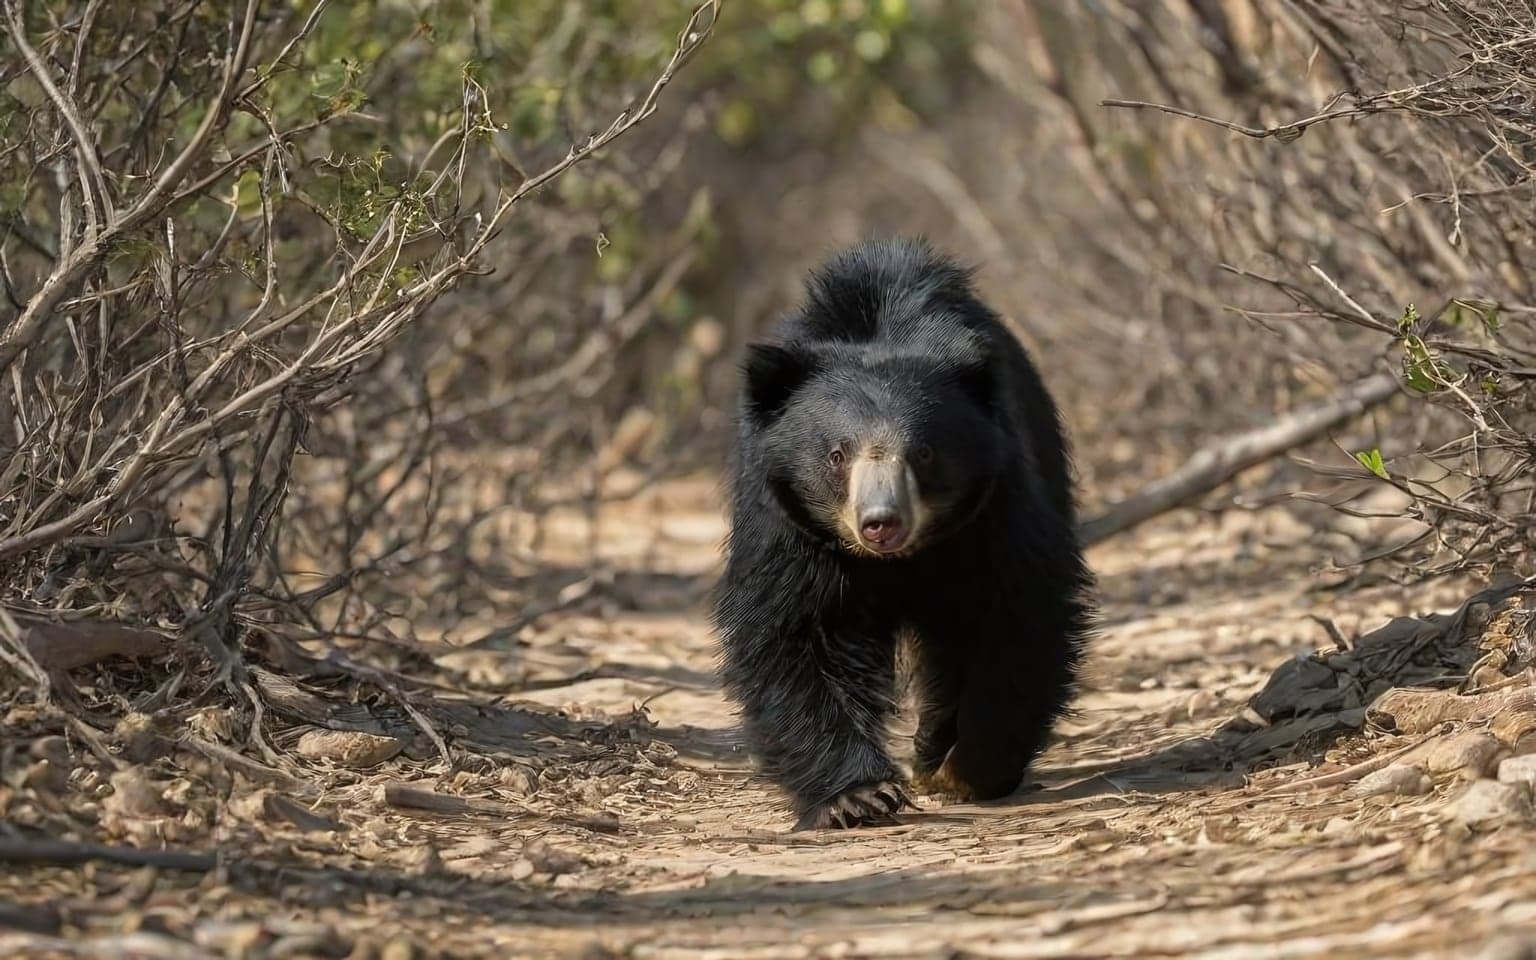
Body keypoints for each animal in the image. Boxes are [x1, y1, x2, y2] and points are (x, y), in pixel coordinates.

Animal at [711, 236, 1094, 831]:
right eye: (837, 454)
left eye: (924, 453)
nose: (881, 523)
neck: (900, 560)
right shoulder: (786, 523)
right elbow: (792, 629)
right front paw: (858, 797)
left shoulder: (995, 508)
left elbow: (1019, 611)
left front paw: (968, 769)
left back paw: (933, 754)